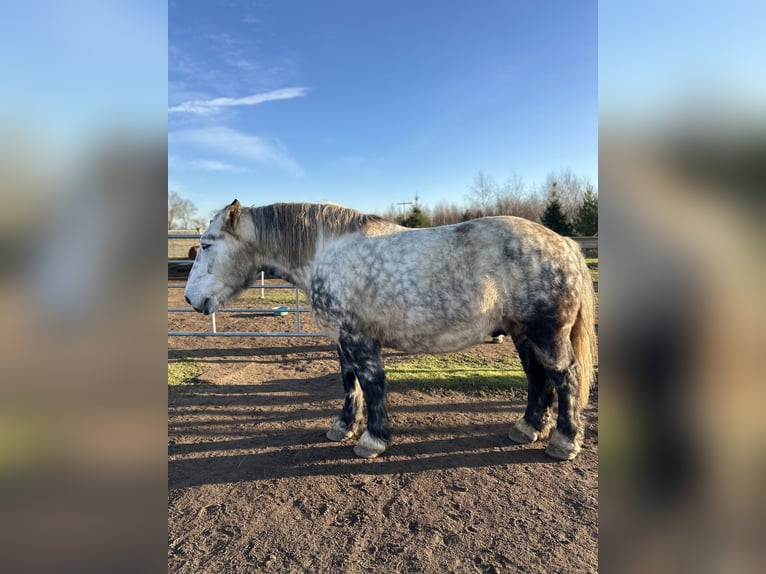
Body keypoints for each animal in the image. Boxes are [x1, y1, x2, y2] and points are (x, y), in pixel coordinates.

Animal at [184, 200, 596, 460]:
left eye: (206, 244)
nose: (190, 298)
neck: (327, 252)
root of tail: (564, 243)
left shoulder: (360, 341)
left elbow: (372, 385)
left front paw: (373, 440)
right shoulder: (342, 340)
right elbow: (349, 384)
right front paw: (343, 427)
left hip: (547, 336)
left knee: (566, 378)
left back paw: (564, 442)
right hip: (523, 335)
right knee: (538, 379)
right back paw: (527, 428)